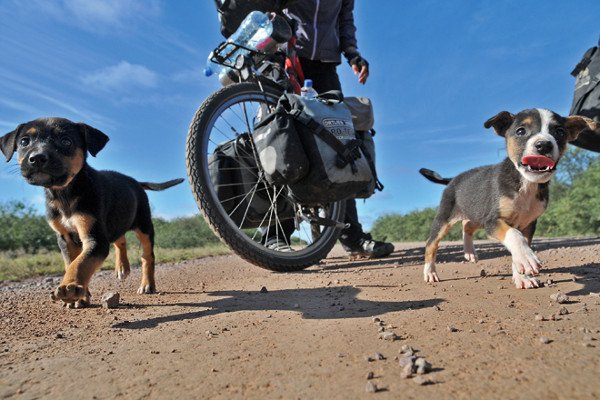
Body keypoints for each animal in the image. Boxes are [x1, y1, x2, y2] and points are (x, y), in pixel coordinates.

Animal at [0, 117, 183, 308]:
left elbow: (81, 263)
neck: (65, 193)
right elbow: (71, 262)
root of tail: (136, 182)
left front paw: (71, 287)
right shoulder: (64, 238)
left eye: (66, 141)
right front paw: (80, 296)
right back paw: (122, 267)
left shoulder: (96, 238)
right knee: (120, 240)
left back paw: (147, 284)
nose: (37, 158)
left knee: (147, 255)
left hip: (144, 226)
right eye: (24, 142)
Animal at [424, 109, 596, 290]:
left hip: (478, 214)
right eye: (520, 131)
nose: (544, 145)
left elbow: (519, 248)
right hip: (446, 218)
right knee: (431, 244)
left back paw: (470, 252)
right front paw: (526, 259)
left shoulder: (528, 224)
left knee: (467, 225)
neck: (526, 184)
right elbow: (514, 234)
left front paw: (523, 275)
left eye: (560, 132)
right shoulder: (493, 221)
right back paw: (430, 273)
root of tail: (452, 179)